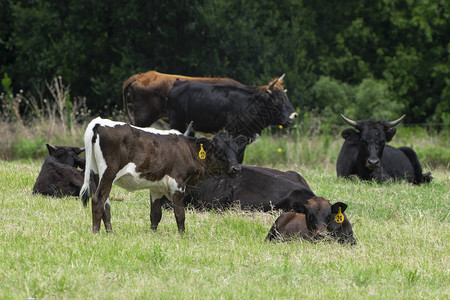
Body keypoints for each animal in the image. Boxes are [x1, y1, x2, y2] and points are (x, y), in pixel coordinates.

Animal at [79, 117, 244, 234]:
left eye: (236, 150)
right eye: (219, 151)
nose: (236, 169)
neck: (186, 150)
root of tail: (99, 122)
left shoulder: (156, 188)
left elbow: (155, 214)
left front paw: (153, 233)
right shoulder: (178, 184)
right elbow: (180, 213)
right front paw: (182, 235)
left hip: (97, 173)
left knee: (105, 203)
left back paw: (110, 232)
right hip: (108, 173)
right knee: (98, 200)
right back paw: (96, 232)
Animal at [167, 76, 298, 163]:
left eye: (285, 97)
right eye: (276, 100)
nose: (294, 115)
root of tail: (178, 83)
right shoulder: (235, 134)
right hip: (176, 122)